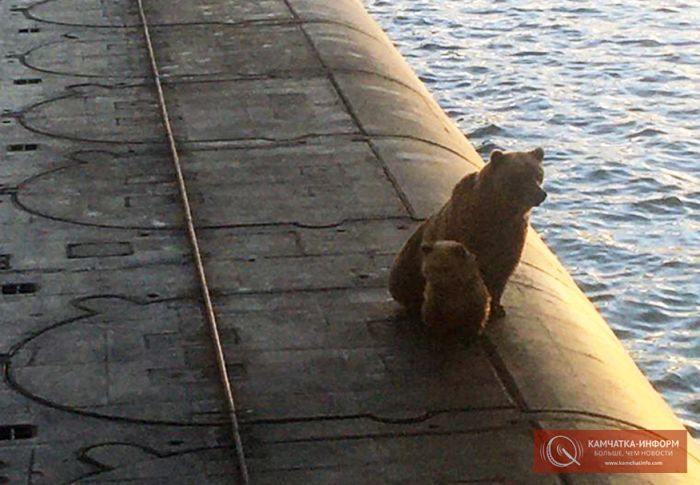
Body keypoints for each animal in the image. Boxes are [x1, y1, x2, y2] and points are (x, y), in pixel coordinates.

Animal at [388, 147, 548, 318]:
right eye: (520, 175)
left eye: (538, 174)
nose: (541, 194)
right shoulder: (466, 230)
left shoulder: (512, 237)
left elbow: (502, 273)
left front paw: (497, 308)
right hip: (406, 265)